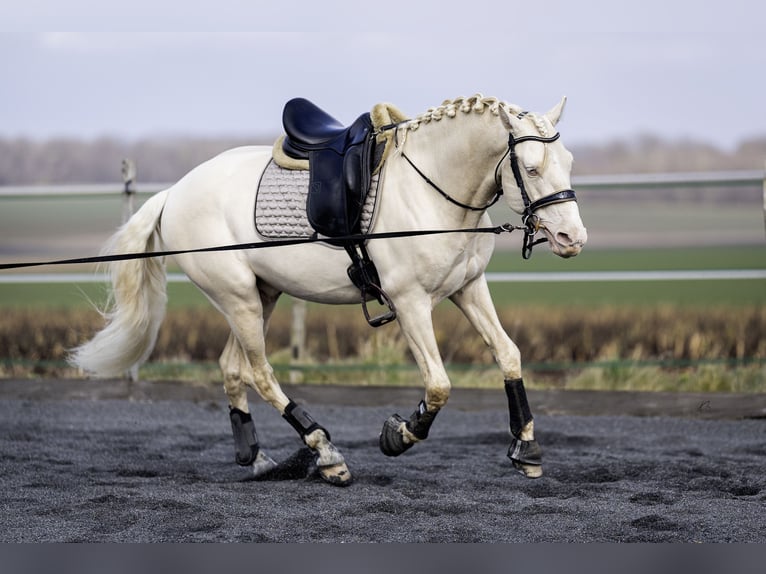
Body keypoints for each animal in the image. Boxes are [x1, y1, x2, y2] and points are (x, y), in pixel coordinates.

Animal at [70, 94, 588, 486]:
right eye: (531, 168)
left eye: (568, 162)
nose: (572, 238)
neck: (432, 190)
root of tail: (174, 192)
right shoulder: (410, 303)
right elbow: (439, 385)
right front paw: (397, 436)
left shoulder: (468, 289)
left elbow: (509, 354)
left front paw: (526, 449)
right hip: (238, 299)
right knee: (260, 373)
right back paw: (326, 453)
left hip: (261, 296)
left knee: (232, 369)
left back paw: (257, 459)